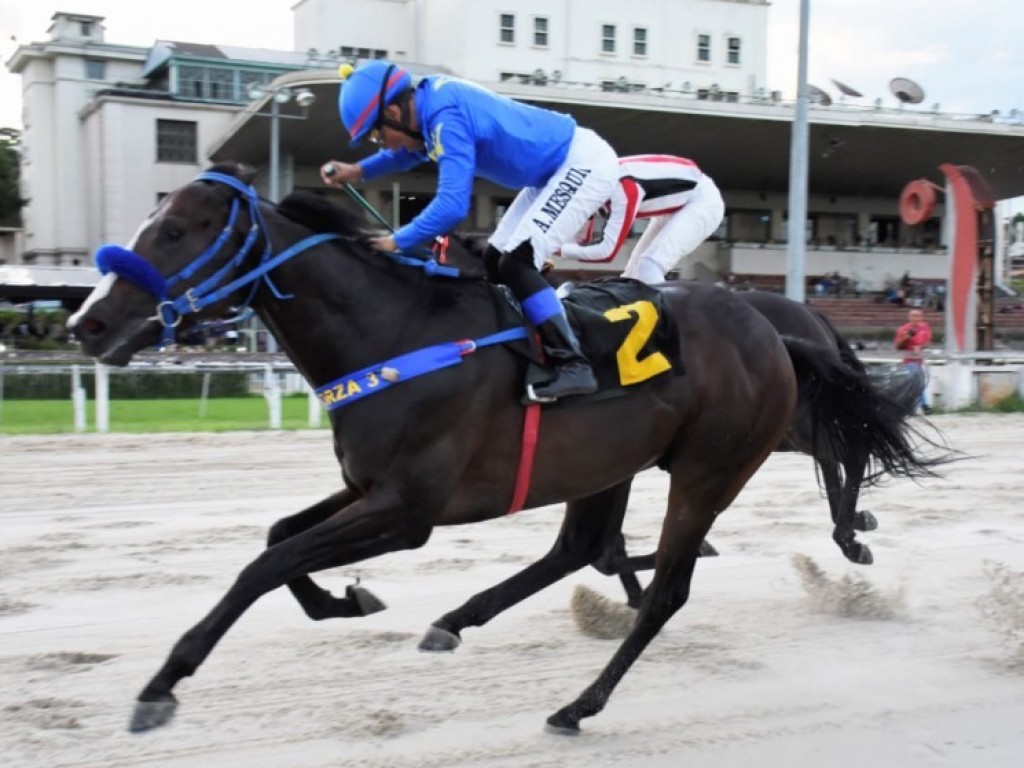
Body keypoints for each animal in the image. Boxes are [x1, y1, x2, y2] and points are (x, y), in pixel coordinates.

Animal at [68, 166, 901, 733]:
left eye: (176, 231)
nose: (87, 324)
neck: (398, 331)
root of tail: (778, 332)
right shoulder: (370, 487)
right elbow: (278, 540)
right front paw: (344, 599)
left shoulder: (408, 512)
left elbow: (263, 565)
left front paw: (162, 685)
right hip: (613, 464)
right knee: (582, 548)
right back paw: (459, 620)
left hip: (711, 467)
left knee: (670, 586)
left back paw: (579, 703)